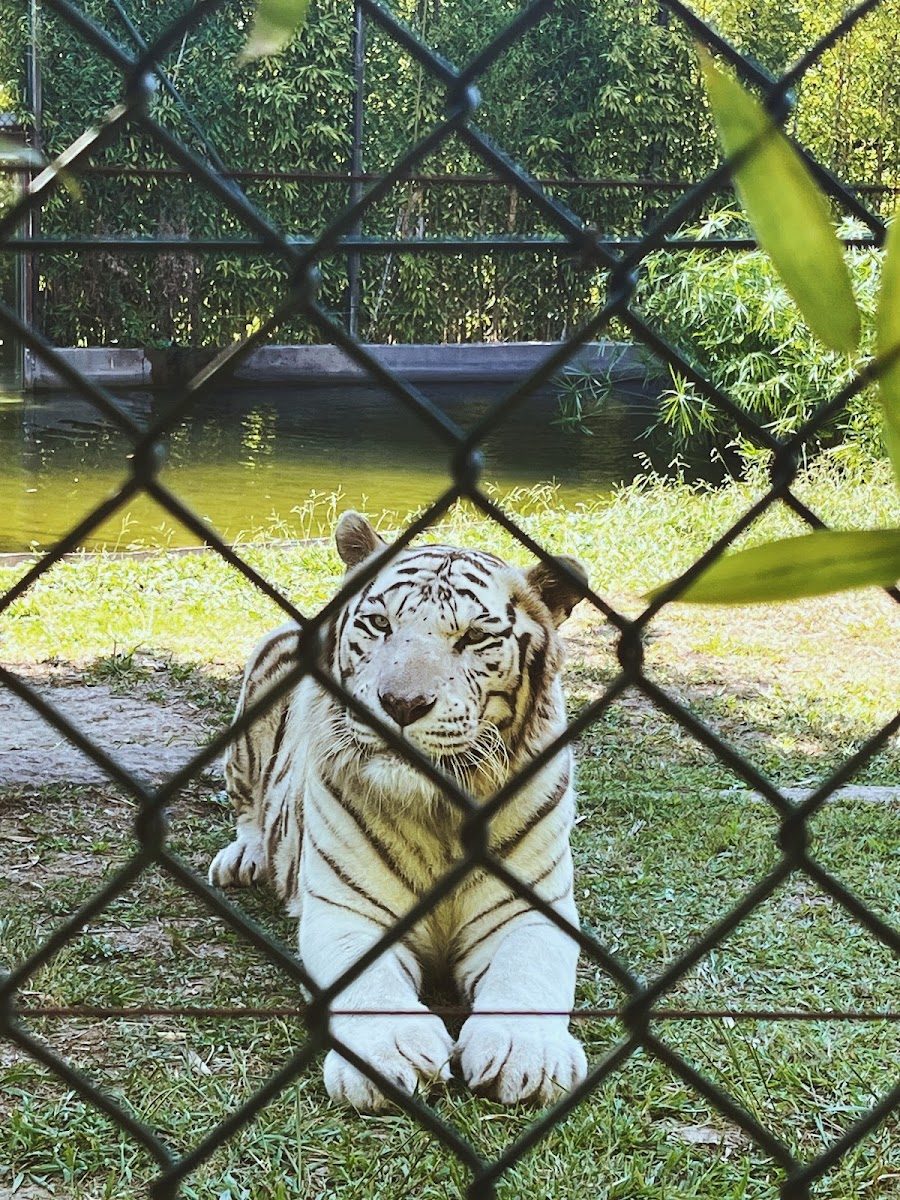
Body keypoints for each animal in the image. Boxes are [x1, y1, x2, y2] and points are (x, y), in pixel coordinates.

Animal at [208, 511, 589, 1111]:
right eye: (379, 624)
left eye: (474, 638)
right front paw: (392, 1051)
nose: (401, 704)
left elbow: (527, 975)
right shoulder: (348, 911)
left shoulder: (527, 911)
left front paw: (525, 1053)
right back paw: (243, 859)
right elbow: (371, 986)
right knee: (248, 807)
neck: (440, 812)